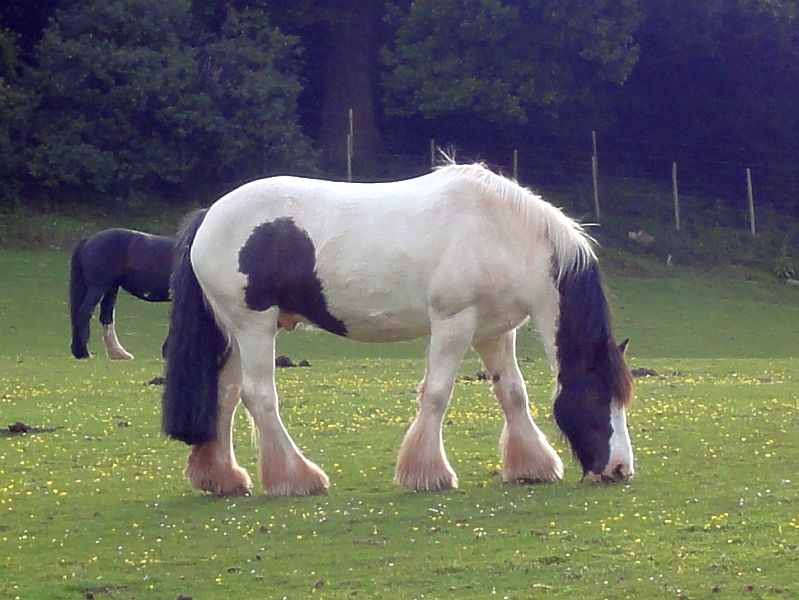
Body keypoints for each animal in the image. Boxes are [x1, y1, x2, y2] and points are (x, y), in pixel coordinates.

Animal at [69, 229, 174, 360]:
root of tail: (87, 240)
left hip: (111, 289)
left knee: (106, 317)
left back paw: (118, 353)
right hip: (98, 288)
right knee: (84, 313)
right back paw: (83, 353)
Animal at [164, 163, 636, 496]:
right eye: (598, 396)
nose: (620, 470)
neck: (501, 232)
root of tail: (210, 215)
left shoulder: (494, 332)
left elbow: (513, 394)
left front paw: (533, 466)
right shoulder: (454, 323)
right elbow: (437, 394)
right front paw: (427, 473)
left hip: (235, 334)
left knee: (225, 396)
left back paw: (223, 478)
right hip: (255, 328)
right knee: (259, 397)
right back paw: (297, 478)